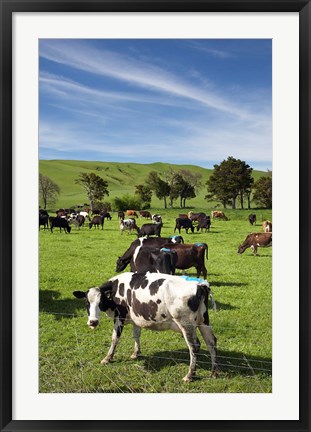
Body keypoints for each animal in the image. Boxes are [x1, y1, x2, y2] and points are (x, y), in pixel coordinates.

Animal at [73, 272, 219, 384]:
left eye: (101, 301)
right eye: (87, 302)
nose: (93, 322)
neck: (117, 289)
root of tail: (200, 285)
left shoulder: (119, 316)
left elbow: (115, 338)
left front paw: (107, 358)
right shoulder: (136, 318)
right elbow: (136, 334)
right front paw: (136, 353)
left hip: (186, 324)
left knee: (194, 346)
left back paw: (189, 375)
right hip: (203, 321)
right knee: (211, 342)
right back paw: (214, 372)